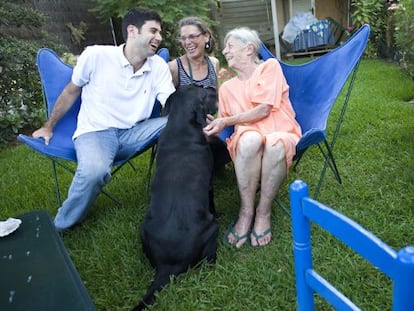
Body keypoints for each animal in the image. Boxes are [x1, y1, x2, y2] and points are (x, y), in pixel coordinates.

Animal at [133, 85, 220, 311]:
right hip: (212, 230)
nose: (212, 87)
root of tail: (168, 267)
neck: (180, 127)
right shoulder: (209, 184)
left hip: (143, 231)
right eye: (203, 93)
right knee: (209, 262)